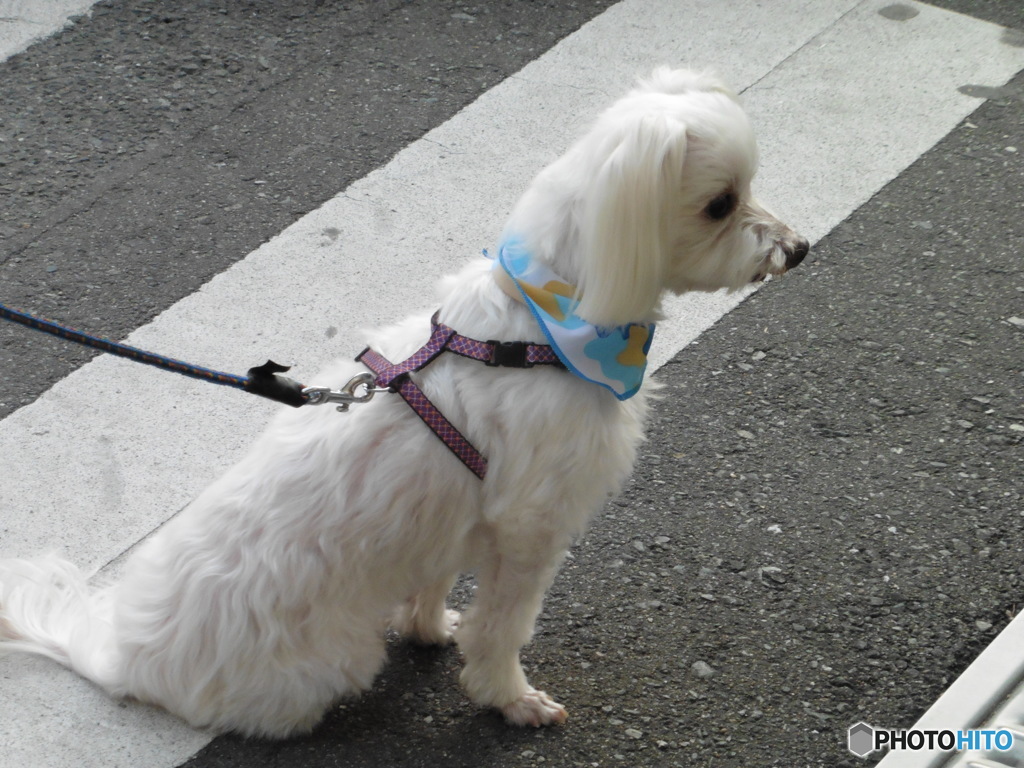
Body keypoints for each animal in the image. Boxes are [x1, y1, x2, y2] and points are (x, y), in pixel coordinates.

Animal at [0, 70, 806, 741]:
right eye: (720, 203)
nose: (796, 250)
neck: (545, 321)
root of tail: (124, 655)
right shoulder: (531, 526)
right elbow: (502, 629)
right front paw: (509, 698)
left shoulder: (452, 518)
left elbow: (435, 581)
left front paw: (426, 627)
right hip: (325, 663)